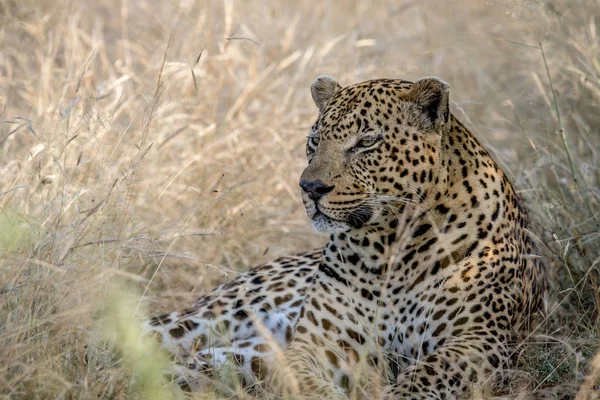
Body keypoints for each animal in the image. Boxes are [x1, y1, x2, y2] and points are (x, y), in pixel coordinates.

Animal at [143, 76, 548, 400]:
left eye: (366, 142)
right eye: (314, 140)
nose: (310, 187)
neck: (390, 247)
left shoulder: (477, 342)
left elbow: (422, 379)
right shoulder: (318, 345)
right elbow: (305, 382)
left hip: (236, 353)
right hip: (216, 317)